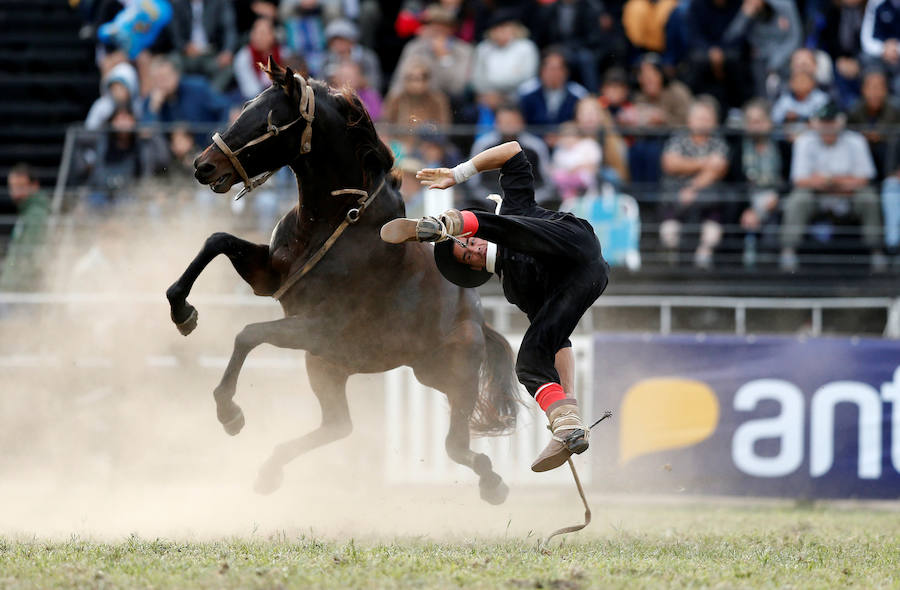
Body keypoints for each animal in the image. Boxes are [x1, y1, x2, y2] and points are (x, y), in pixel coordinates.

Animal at [165, 57, 520, 504]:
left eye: (270, 120)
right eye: (245, 106)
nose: (203, 165)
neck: (337, 221)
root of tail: (477, 317)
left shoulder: (320, 327)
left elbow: (247, 334)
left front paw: (228, 410)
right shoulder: (269, 278)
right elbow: (217, 240)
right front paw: (182, 312)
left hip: (447, 372)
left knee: (454, 444)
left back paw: (493, 483)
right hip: (345, 366)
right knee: (339, 425)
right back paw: (270, 471)